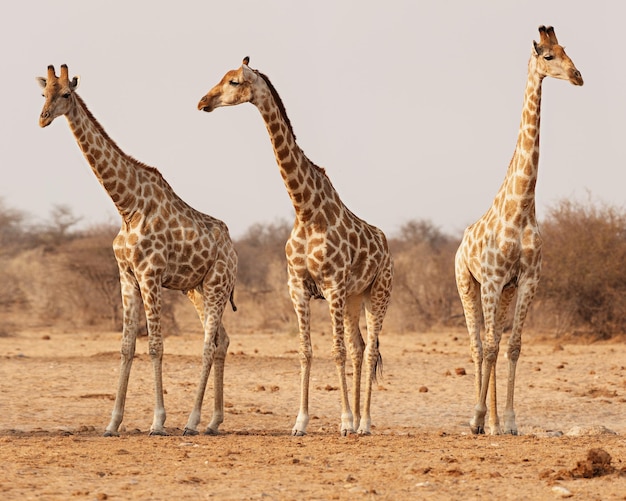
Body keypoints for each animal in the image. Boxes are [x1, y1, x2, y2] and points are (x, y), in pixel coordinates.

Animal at [36, 64, 236, 436]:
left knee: (207, 344)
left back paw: (192, 422)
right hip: (195, 289)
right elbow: (127, 346)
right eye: (43, 93)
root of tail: (233, 249)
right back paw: (213, 421)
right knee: (222, 341)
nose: (42, 119)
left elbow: (155, 345)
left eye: (66, 94)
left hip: (217, 284)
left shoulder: (150, 274)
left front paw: (158, 421)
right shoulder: (126, 276)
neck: (127, 206)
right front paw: (112, 423)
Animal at [196, 57, 390, 434]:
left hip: (377, 294)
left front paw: (344, 421)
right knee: (360, 347)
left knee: (370, 348)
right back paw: (359, 420)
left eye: (234, 81)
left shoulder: (333, 285)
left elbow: (335, 351)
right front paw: (300, 422)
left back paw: (364, 422)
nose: (202, 102)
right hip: (355, 298)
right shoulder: (297, 286)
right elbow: (306, 351)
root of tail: (387, 247)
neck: (306, 210)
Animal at [454, 26, 580, 434]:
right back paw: (477, 419)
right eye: (548, 56)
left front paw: (508, 421)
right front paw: (478, 418)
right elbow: (491, 347)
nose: (578, 76)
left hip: (504, 292)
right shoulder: (492, 279)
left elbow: (513, 346)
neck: (522, 207)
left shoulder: (527, 280)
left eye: (566, 50)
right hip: (468, 283)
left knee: (494, 342)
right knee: (479, 346)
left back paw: (493, 422)